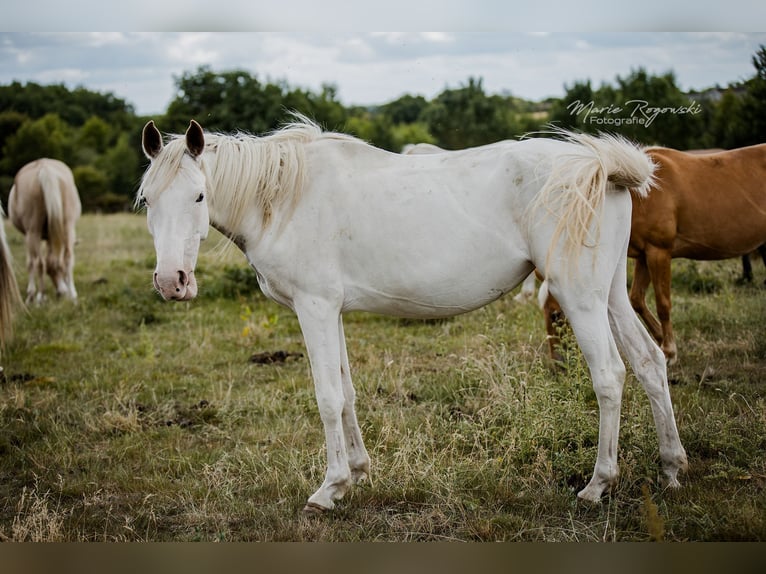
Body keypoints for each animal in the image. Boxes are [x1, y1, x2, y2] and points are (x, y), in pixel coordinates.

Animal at [8, 158, 82, 303]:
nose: (61, 292)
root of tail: (44, 167)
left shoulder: (28, 236)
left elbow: (31, 262)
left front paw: (31, 296)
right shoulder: (50, 237)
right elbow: (53, 260)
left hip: (33, 231)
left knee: (38, 262)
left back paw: (39, 296)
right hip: (68, 227)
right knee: (67, 257)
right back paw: (72, 294)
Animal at [138, 117, 687, 513]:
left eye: (199, 196)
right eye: (147, 201)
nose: (171, 282)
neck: (284, 196)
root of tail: (598, 163)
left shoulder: (315, 308)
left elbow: (326, 397)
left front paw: (328, 489)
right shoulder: (332, 311)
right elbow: (347, 393)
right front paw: (357, 474)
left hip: (579, 298)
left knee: (609, 376)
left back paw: (598, 484)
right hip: (609, 293)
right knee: (649, 362)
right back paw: (672, 469)